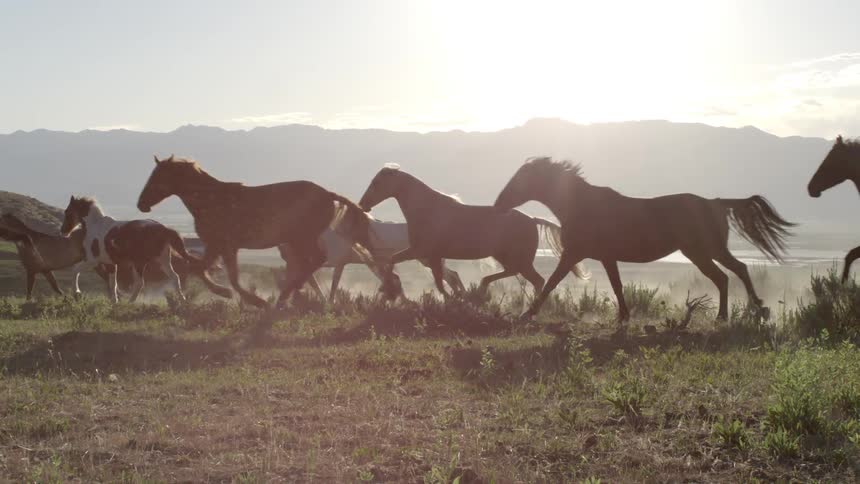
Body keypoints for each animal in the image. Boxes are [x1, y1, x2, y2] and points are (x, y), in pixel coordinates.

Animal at [60, 196, 230, 303]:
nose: (63, 231)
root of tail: (163, 229)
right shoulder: (110, 264)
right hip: (163, 260)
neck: (95, 227)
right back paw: (182, 300)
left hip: (139, 262)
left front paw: (77, 293)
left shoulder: (92, 260)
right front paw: (114, 302)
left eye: (67, 212)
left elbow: (75, 270)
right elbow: (113, 284)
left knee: (140, 282)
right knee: (175, 277)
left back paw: (131, 302)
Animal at [136, 155, 392, 308]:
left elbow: (216, 274)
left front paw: (244, 298)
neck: (212, 201)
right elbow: (205, 269)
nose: (141, 204)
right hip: (299, 240)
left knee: (315, 260)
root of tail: (328, 194)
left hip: (302, 238)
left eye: (158, 176)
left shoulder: (223, 245)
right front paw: (233, 294)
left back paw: (288, 293)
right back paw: (287, 294)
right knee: (311, 262)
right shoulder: (221, 246)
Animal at [281, 220, 464, 303]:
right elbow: (311, 283)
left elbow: (329, 285)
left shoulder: (337, 263)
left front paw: (329, 303)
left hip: (426, 260)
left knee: (451, 276)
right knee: (451, 275)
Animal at [357, 164, 587, 297]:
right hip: (506, 257)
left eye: (376, 183)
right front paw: (387, 289)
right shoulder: (425, 254)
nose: (363, 205)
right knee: (520, 275)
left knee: (536, 280)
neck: (427, 210)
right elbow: (397, 263)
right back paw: (486, 289)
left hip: (520, 260)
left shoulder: (425, 253)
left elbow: (440, 283)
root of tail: (532, 219)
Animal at [494, 157, 795, 322]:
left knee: (731, 273)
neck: (581, 205)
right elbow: (616, 286)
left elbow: (551, 283)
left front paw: (527, 314)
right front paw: (624, 317)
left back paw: (745, 312)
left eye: (520, 178)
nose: (499, 205)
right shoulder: (606, 257)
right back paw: (742, 312)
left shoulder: (574, 253)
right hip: (704, 251)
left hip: (704, 250)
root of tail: (716, 202)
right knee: (729, 274)